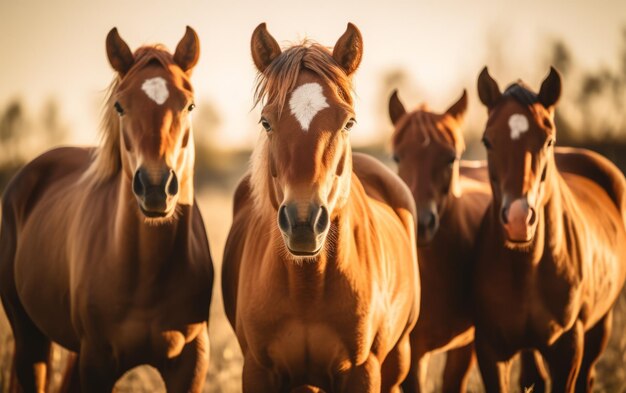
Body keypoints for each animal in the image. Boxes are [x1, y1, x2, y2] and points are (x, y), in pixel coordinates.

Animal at [0, 27, 213, 392]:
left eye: (189, 105)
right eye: (120, 106)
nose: (155, 187)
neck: (147, 274)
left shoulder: (191, 359)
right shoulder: (97, 360)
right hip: (30, 338)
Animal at [221, 23, 420, 390]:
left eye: (348, 123)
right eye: (266, 122)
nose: (303, 223)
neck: (307, 288)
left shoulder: (364, 371)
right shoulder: (257, 370)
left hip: (398, 358)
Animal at [470, 66, 624, 390]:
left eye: (548, 140)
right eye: (488, 140)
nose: (518, 219)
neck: (528, 267)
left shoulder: (568, 346)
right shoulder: (490, 350)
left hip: (600, 326)